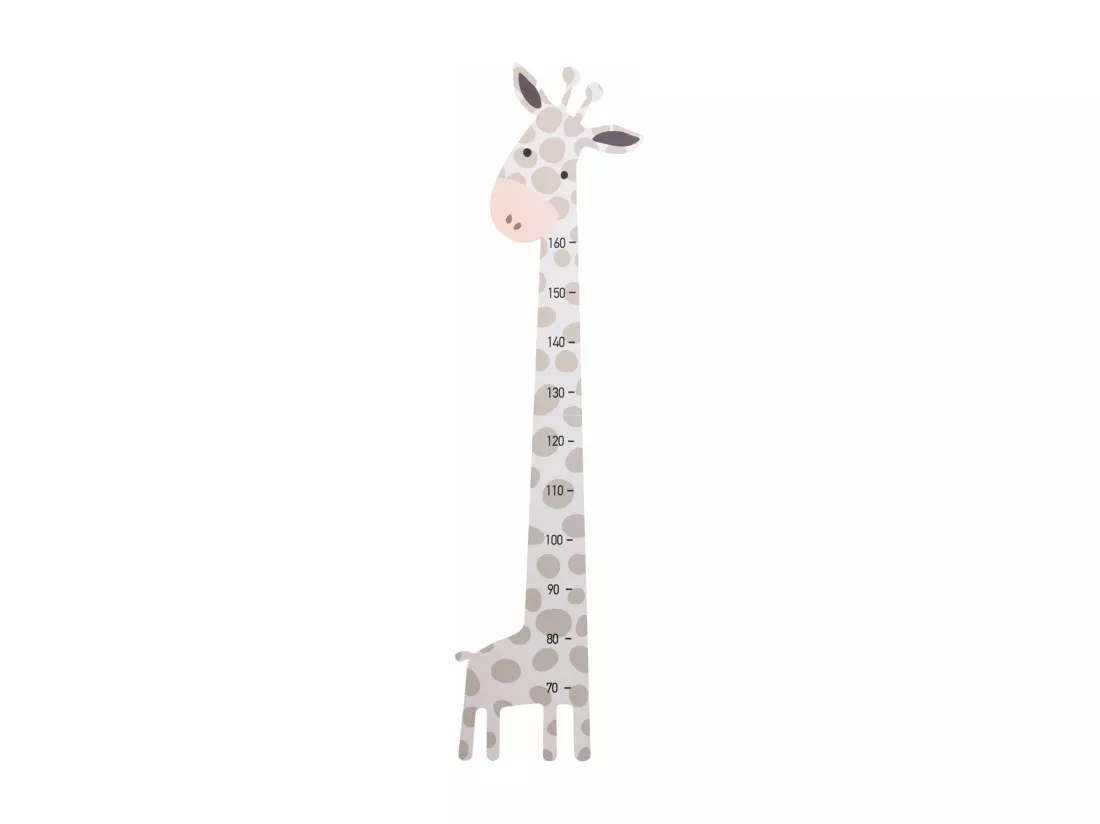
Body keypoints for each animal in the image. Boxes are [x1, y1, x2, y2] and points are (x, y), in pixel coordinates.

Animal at [455, 64, 642, 762]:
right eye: (527, 147)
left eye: (567, 172)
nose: (512, 216)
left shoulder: (578, 698)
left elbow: (571, 733)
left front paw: (572, 759)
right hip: (478, 695)